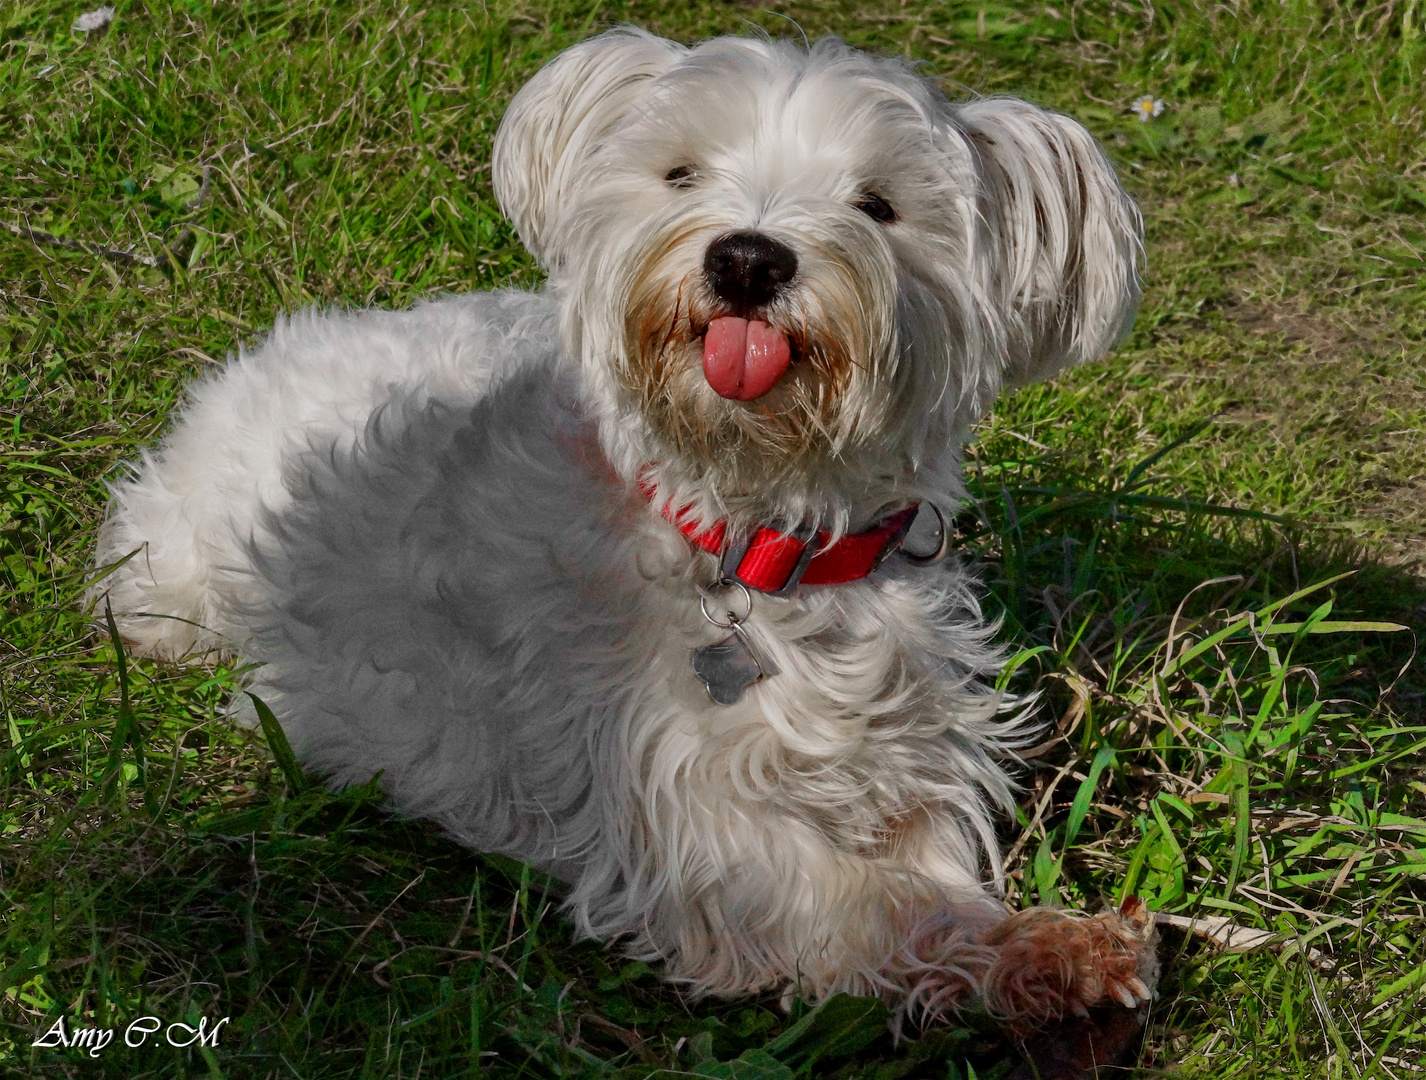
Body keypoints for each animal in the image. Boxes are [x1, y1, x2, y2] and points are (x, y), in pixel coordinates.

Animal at [91, 27, 1157, 1038]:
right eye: (682, 173)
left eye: (878, 204)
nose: (748, 257)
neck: (755, 541)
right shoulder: (682, 817)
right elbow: (860, 899)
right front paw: (1036, 948)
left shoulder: (915, 757)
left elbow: (930, 864)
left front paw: (1040, 945)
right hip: (177, 583)